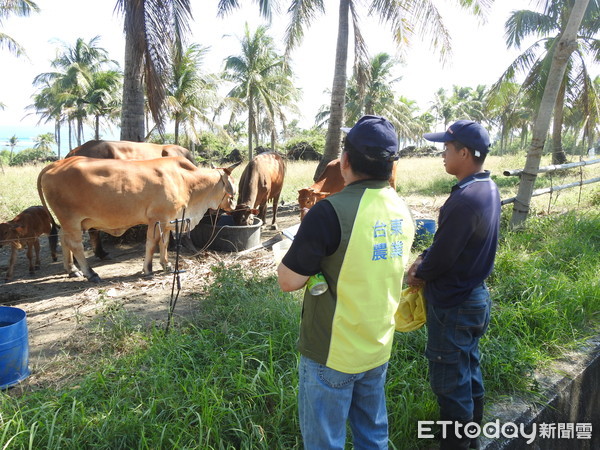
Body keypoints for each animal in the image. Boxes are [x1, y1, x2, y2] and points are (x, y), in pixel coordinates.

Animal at [37, 155, 239, 282]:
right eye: (233, 185)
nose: (234, 206)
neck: (185, 181)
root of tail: (54, 165)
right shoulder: (157, 218)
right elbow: (152, 243)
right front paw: (148, 269)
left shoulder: (168, 221)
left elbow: (164, 243)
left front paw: (166, 265)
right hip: (71, 220)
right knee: (75, 245)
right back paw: (90, 273)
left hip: (68, 223)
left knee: (64, 240)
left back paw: (72, 270)